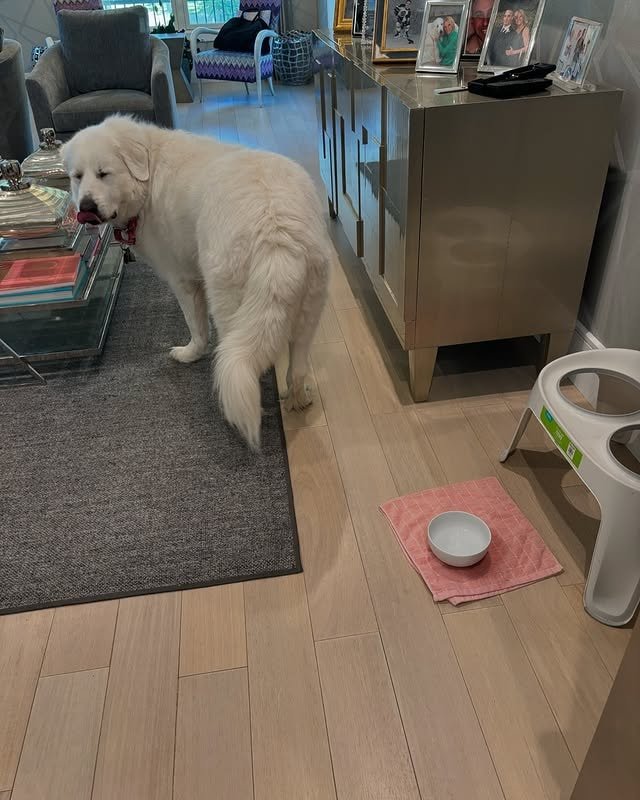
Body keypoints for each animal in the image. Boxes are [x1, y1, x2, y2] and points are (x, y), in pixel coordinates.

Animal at [60, 115, 332, 450]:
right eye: (77, 177)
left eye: (103, 173)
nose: (86, 207)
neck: (149, 171)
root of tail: (276, 230)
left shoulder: (183, 281)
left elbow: (198, 329)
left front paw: (189, 354)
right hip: (310, 311)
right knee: (298, 368)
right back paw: (297, 399)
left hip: (228, 304)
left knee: (235, 359)